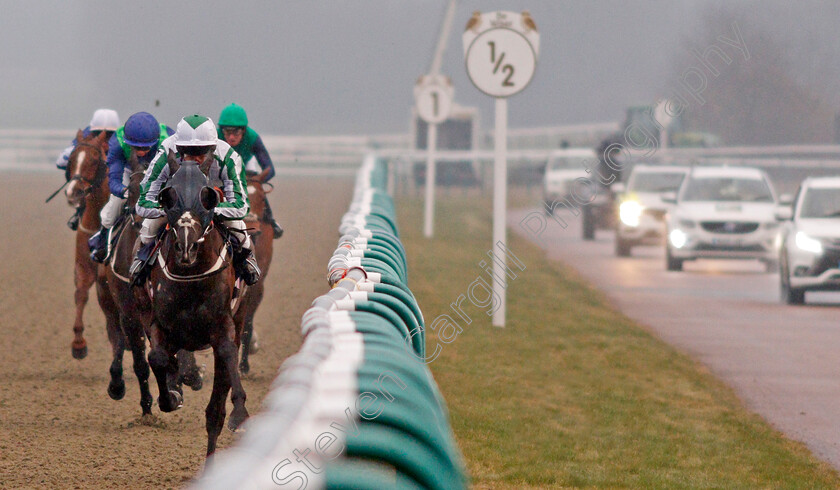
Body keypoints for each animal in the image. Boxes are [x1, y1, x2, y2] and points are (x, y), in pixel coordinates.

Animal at [146, 152, 249, 456]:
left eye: (208, 196)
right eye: (168, 195)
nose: (186, 247)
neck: (191, 278)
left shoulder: (223, 325)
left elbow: (227, 352)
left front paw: (240, 412)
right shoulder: (160, 323)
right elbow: (157, 357)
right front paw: (170, 396)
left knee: (215, 412)